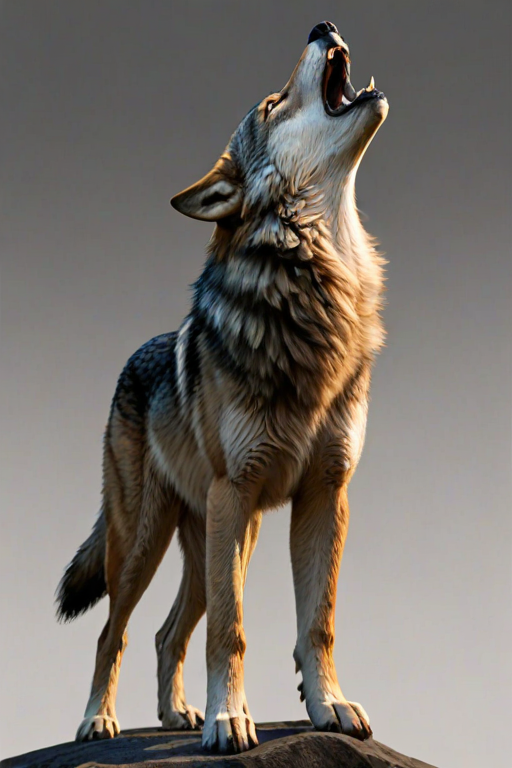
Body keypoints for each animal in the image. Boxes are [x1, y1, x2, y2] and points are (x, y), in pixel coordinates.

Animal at [56, 20, 389, 753]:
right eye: (271, 104)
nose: (322, 25)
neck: (318, 286)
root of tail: (128, 360)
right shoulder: (237, 493)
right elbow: (231, 632)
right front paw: (229, 720)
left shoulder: (326, 493)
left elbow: (317, 622)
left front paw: (328, 705)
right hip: (146, 542)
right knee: (113, 632)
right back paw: (98, 720)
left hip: (218, 537)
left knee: (166, 631)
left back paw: (176, 714)